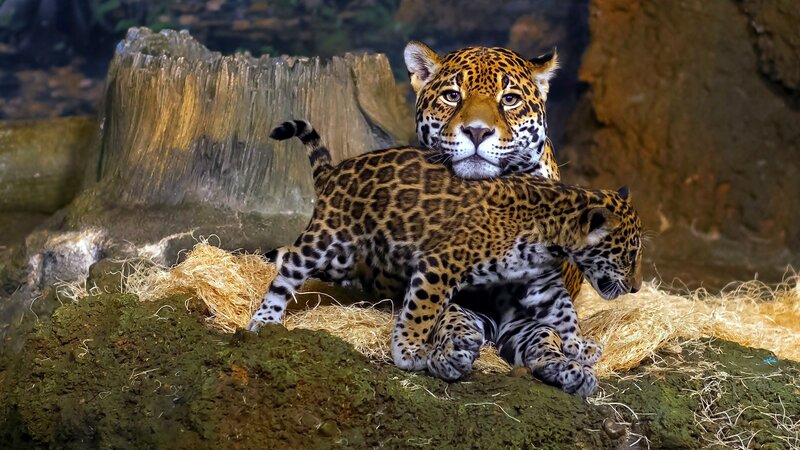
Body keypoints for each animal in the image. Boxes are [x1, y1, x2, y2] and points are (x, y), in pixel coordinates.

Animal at [248, 120, 643, 396]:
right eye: (629, 255)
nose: (638, 288)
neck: (553, 230)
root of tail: (335, 172)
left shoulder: (540, 282)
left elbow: (562, 313)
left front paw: (577, 346)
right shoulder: (441, 263)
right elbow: (421, 311)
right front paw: (408, 351)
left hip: (347, 255)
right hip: (327, 238)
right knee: (289, 269)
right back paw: (264, 318)